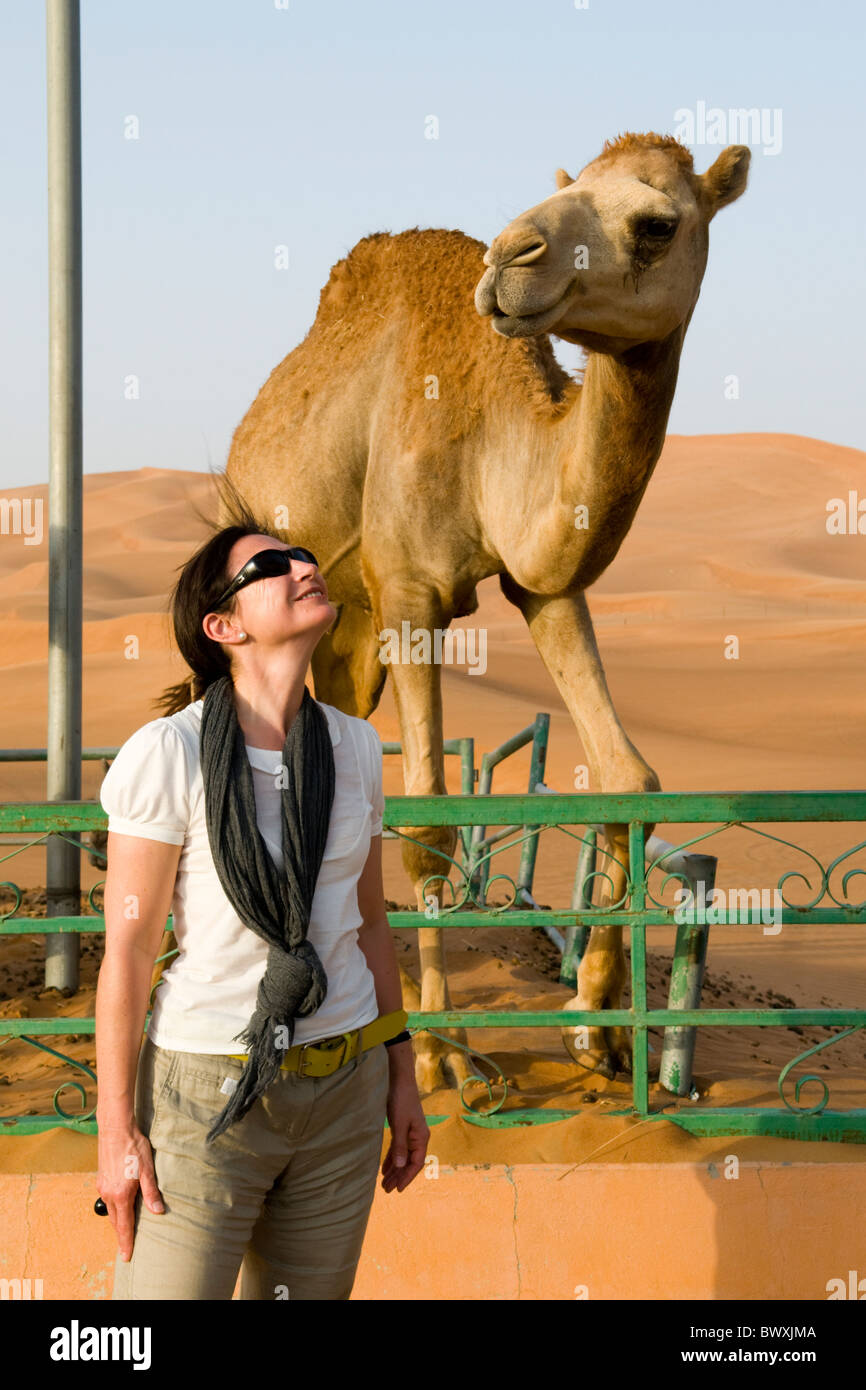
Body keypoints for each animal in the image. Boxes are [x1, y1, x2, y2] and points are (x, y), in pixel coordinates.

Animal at [218, 130, 750, 1089]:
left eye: (657, 223)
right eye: (571, 189)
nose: (510, 257)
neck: (491, 438)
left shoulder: (545, 583)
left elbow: (628, 777)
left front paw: (598, 1027)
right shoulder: (410, 590)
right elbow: (428, 815)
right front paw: (442, 1055)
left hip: (343, 642)